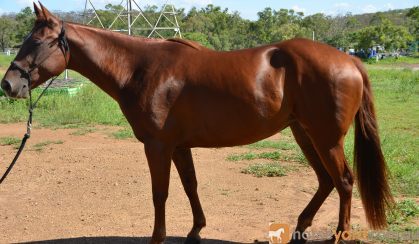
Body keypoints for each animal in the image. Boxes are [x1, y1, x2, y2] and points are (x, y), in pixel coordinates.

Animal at [1, 2, 394, 243]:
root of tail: (349, 60)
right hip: (303, 134)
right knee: (326, 181)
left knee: (344, 181)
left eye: (38, 42)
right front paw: (195, 230)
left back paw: (340, 234)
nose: (9, 84)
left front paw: (158, 237)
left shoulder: (157, 146)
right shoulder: (179, 146)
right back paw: (299, 227)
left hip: (325, 138)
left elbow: (160, 193)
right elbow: (190, 186)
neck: (140, 68)